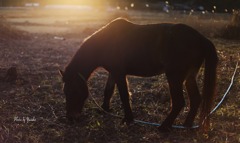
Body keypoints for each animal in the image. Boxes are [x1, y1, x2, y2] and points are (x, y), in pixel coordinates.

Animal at [59, 18, 218, 132]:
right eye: (65, 91)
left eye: (72, 91)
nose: (71, 118)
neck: (106, 42)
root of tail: (201, 39)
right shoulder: (113, 72)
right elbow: (108, 91)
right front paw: (105, 109)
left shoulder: (119, 73)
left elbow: (124, 95)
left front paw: (128, 119)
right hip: (189, 77)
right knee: (196, 99)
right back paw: (187, 125)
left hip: (174, 77)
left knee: (179, 102)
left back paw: (164, 127)